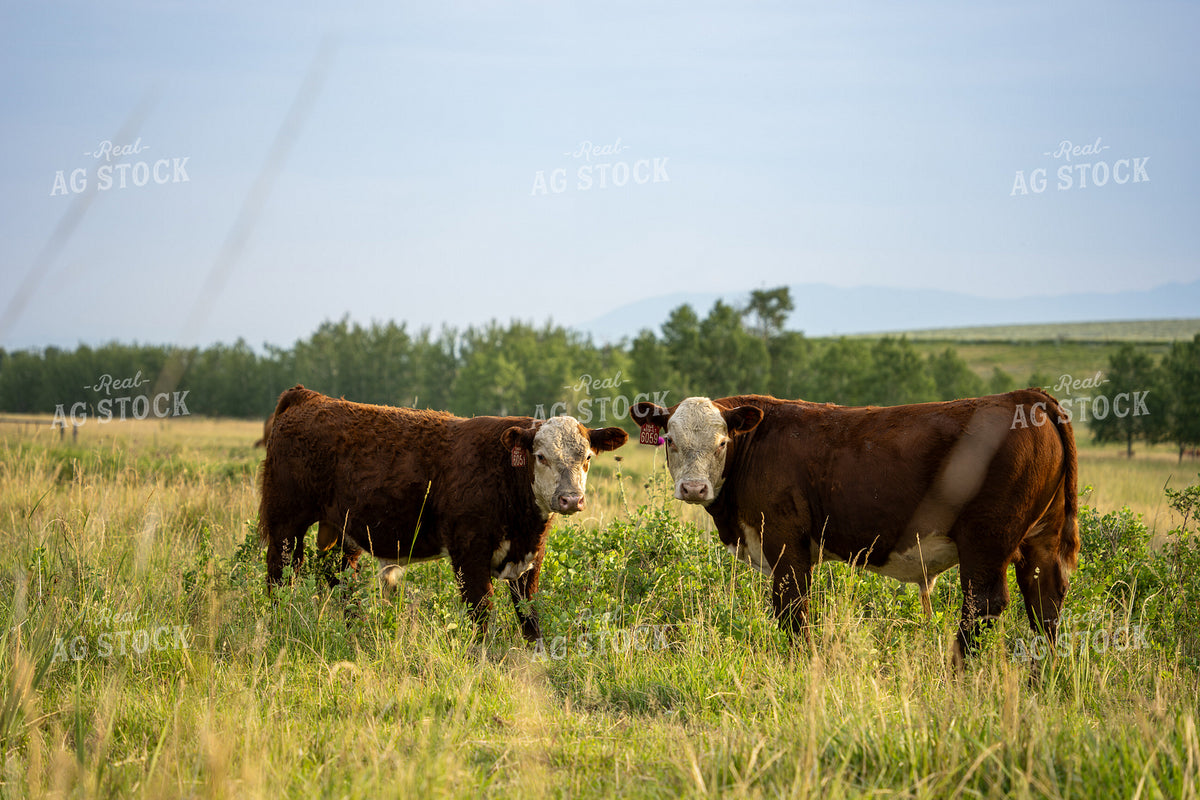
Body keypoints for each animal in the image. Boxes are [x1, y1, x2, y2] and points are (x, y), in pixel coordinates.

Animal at [258, 385, 628, 641]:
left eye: (587, 458)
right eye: (541, 457)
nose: (571, 499)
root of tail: (309, 397)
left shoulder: (529, 558)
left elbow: (529, 614)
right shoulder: (469, 551)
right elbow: (481, 610)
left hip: (342, 529)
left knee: (339, 577)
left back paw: (355, 629)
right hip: (286, 520)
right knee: (281, 572)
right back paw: (278, 623)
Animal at [631, 390, 1079, 666]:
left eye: (722, 443)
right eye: (671, 440)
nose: (693, 487)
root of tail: (1025, 397)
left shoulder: (784, 541)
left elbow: (791, 607)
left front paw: (802, 663)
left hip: (985, 541)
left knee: (983, 604)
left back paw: (955, 673)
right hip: (1041, 539)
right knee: (1045, 603)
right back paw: (1042, 677)